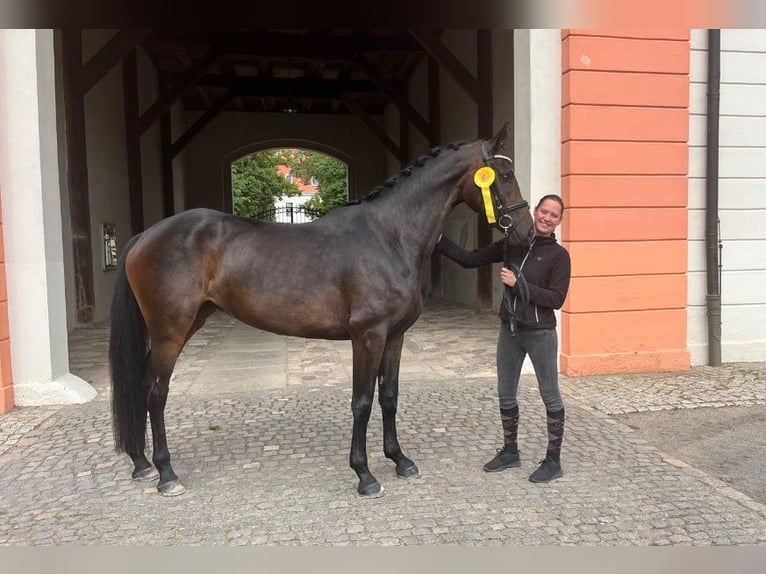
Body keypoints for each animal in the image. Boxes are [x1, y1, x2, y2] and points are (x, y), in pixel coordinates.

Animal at [111, 122, 536, 500]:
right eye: (506, 174)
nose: (528, 232)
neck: (390, 236)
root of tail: (145, 235)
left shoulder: (394, 336)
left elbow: (389, 397)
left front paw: (400, 460)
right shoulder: (367, 336)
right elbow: (361, 402)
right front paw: (365, 475)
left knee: (143, 387)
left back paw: (141, 464)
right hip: (170, 332)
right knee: (156, 393)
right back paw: (166, 474)